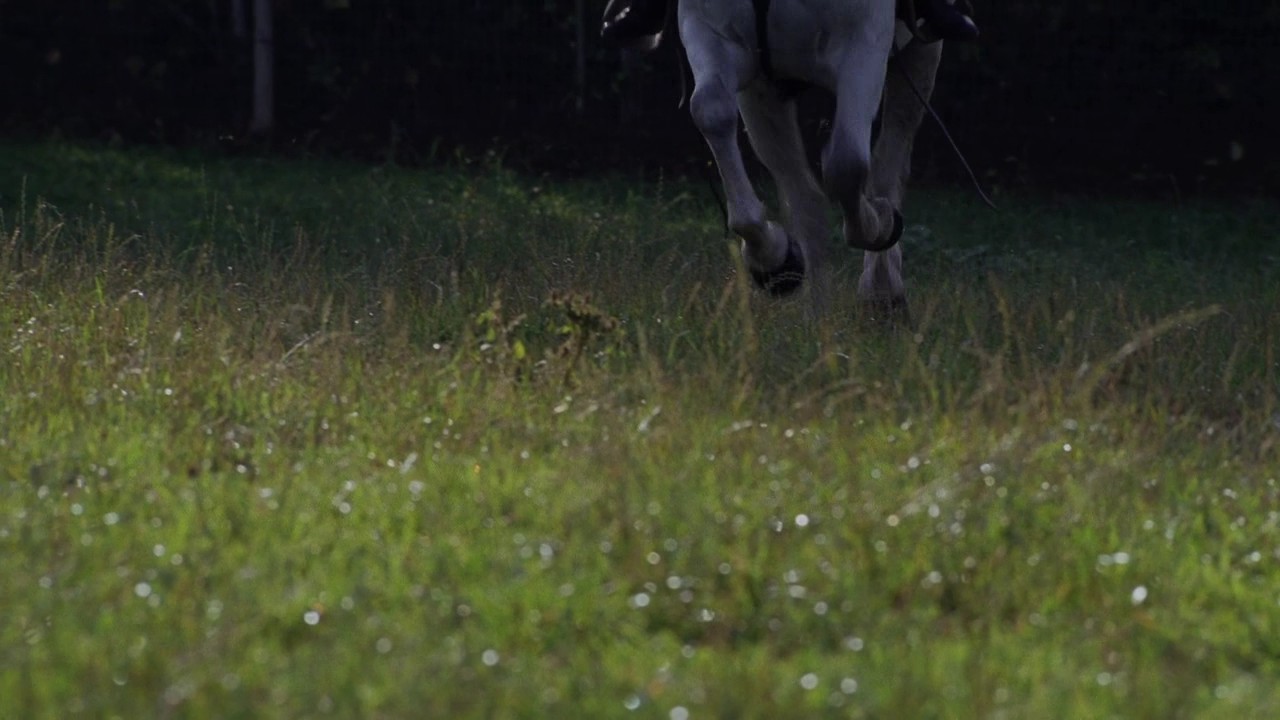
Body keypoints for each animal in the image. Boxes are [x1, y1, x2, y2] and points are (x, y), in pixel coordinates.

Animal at [676, 0, 943, 314]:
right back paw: (817, 315)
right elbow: (711, 110)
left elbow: (846, 164)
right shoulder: (712, 34)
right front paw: (776, 261)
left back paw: (882, 291)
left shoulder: (863, 42)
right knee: (806, 198)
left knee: (887, 165)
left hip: (919, 55)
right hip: (766, 93)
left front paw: (882, 225)